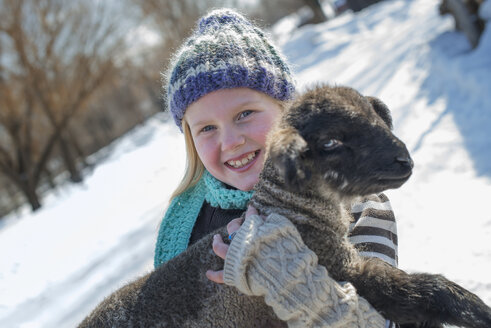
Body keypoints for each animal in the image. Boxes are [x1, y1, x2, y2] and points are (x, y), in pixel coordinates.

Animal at [78, 85, 491, 328]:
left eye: (377, 118)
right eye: (330, 142)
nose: (404, 160)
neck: (294, 210)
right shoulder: (344, 272)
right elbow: (421, 290)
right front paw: (476, 311)